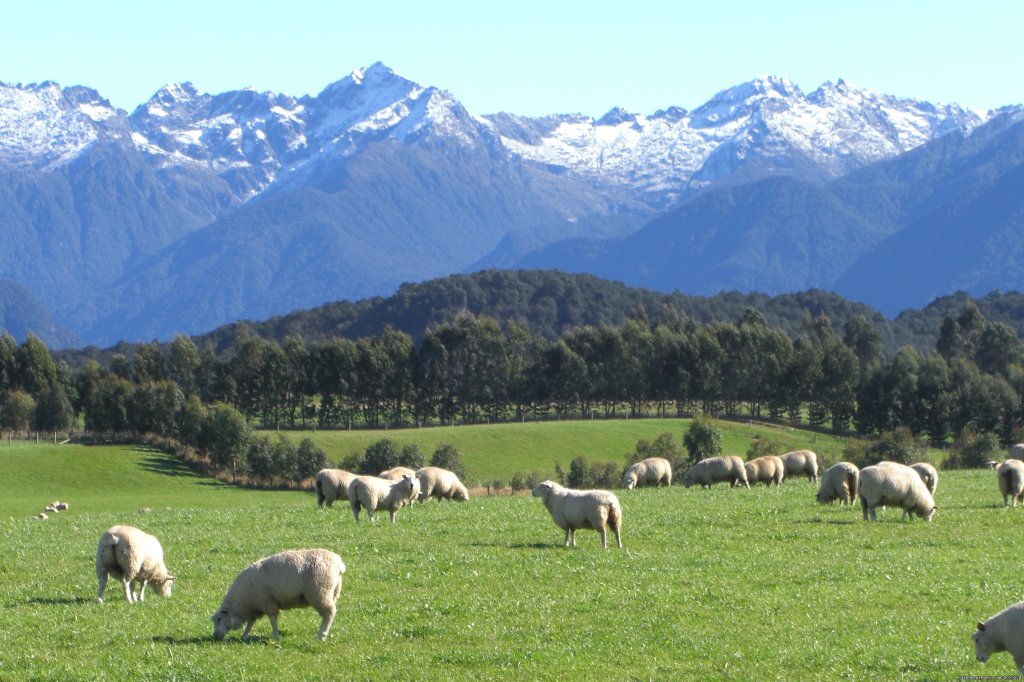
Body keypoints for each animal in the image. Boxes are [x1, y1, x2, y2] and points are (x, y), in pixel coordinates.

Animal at [209, 544, 346, 638]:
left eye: (219, 619)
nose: (215, 636)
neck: (242, 601)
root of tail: (339, 564)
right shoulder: (256, 606)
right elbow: (251, 622)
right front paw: (244, 636)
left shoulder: (267, 602)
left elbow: (272, 620)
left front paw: (276, 636)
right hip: (332, 592)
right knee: (329, 614)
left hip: (320, 592)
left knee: (329, 612)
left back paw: (321, 635)